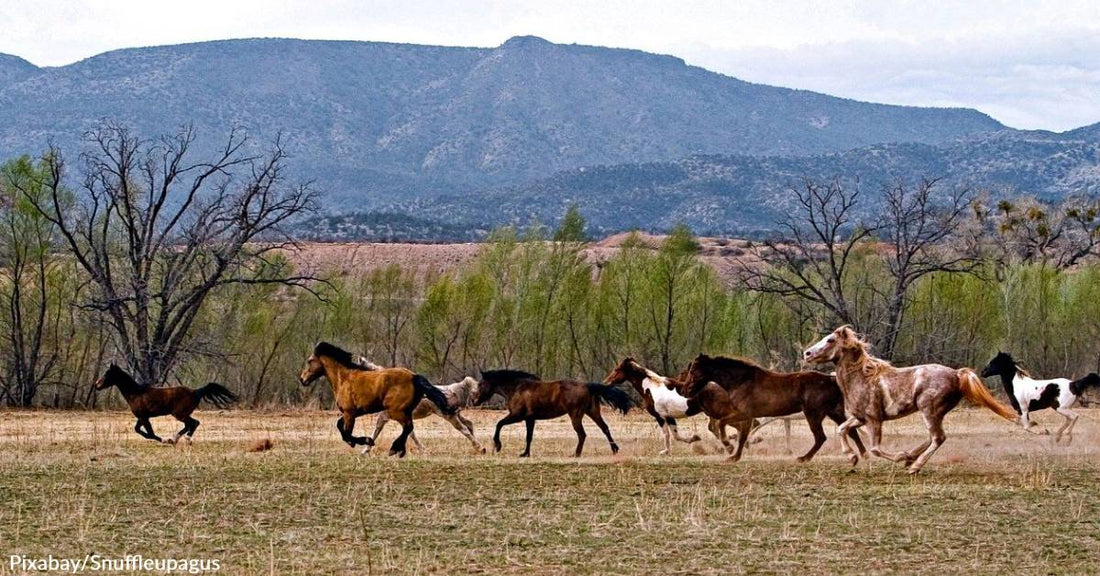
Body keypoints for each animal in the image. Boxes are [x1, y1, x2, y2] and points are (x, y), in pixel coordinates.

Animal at [94, 364, 236, 446]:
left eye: (107, 374)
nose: (96, 385)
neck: (136, 393)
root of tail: (196, 391)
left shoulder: (144, 417)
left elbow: (149, 433)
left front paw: (164, 440)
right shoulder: (142, 417)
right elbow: (138, 430)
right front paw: (165, 440)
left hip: (179, 414)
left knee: (194, 423)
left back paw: (185, 439)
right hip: (181, 414)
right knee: (189, 424)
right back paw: (176, 439)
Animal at [297, 342, 451, 459]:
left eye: (310, 361)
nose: (302, 379)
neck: (344, 379)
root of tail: (414, 376)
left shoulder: (349, 413)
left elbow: (346, 433)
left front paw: (366, 441)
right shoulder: (352, 413)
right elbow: (340, 426)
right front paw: (359, 443)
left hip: (397, 411)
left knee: (408, 427)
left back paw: (394, 449)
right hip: (404, 411)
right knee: (409, 428)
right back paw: (400, 450)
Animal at [473, 371, 638, 457]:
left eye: (481, 384)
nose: (474, 401)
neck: (517, 388)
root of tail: (587, 386)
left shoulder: (517, 416)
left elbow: (499, 424)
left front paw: (497, 445)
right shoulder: (529, 419)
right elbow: (529, 436)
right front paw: (525, 453)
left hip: (576, 415)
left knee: (582, 434)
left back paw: (576, 454)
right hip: (592, 412)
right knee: (605, 428)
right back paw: (614, 449)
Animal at [677, 353, 866, 461]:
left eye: (693, 371)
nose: (684, 390)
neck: (739, 381)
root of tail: (831, 379)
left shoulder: (744, 413)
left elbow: (727, 427)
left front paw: (729, 448)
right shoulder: (747, 416)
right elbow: (742, 436)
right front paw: (734, 455)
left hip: (813, 414)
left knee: (821, 437)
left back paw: (804, 458)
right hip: (835, 413)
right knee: (851, 431)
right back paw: (862, 455)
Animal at [800, 325, 1012, 474]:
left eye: (830, 339)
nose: (807, 353)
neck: (861, 378)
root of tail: (957, 374)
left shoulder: (873, 419)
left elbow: (875, 448)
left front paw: (900, 456)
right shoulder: (859, 418)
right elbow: (842, 429)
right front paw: (852, 457)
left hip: (929, 410)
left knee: (938, 438)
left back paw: (914, 466)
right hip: (936, 413)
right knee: (933, 437)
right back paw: (912, 458)